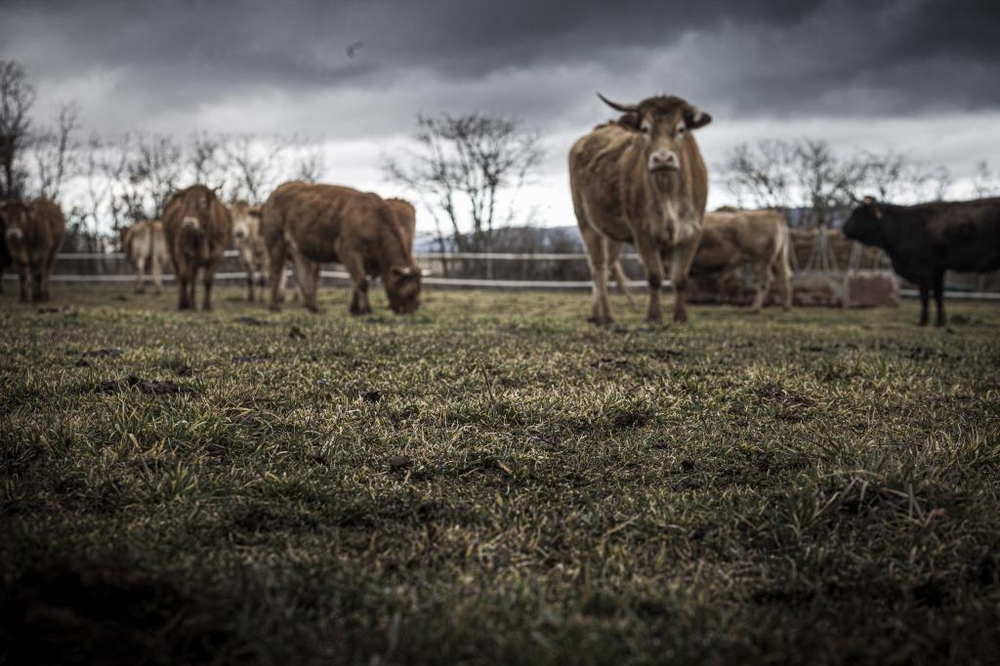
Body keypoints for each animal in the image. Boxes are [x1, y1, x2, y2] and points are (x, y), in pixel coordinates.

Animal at [260, 180, 420, 316]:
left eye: (417, 290)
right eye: (408, 291)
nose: (409, 311)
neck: (373, 222)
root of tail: (278, 190)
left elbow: (356, 282)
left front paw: (355, 309)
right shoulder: (348, 252)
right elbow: (361, 282)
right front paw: (367, 309)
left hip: (298, 250)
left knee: (301, 276)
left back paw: (313, 307)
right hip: (276, 242)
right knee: (276, 273)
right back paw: (274, 307)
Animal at [572, 92, 712, 322]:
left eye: (681, 128)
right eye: (645, 129)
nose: (663, 158)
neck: (668, 192)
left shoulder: (693, 231)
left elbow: (680, 277)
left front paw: (680, 317)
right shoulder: (642, 232)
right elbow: (654, 276)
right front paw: (653, 317)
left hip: (612, 234)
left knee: (607, 267)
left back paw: (599, 314)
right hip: (586, 223)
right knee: (598, 268)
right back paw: (605, 316)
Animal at [844, 195, 1000, 324]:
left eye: (857, 213)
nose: (844, 228)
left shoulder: (922, 267)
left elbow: (924, 295)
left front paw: (923, 321)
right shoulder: (938, 269)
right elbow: (938, 295)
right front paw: (940, 322)